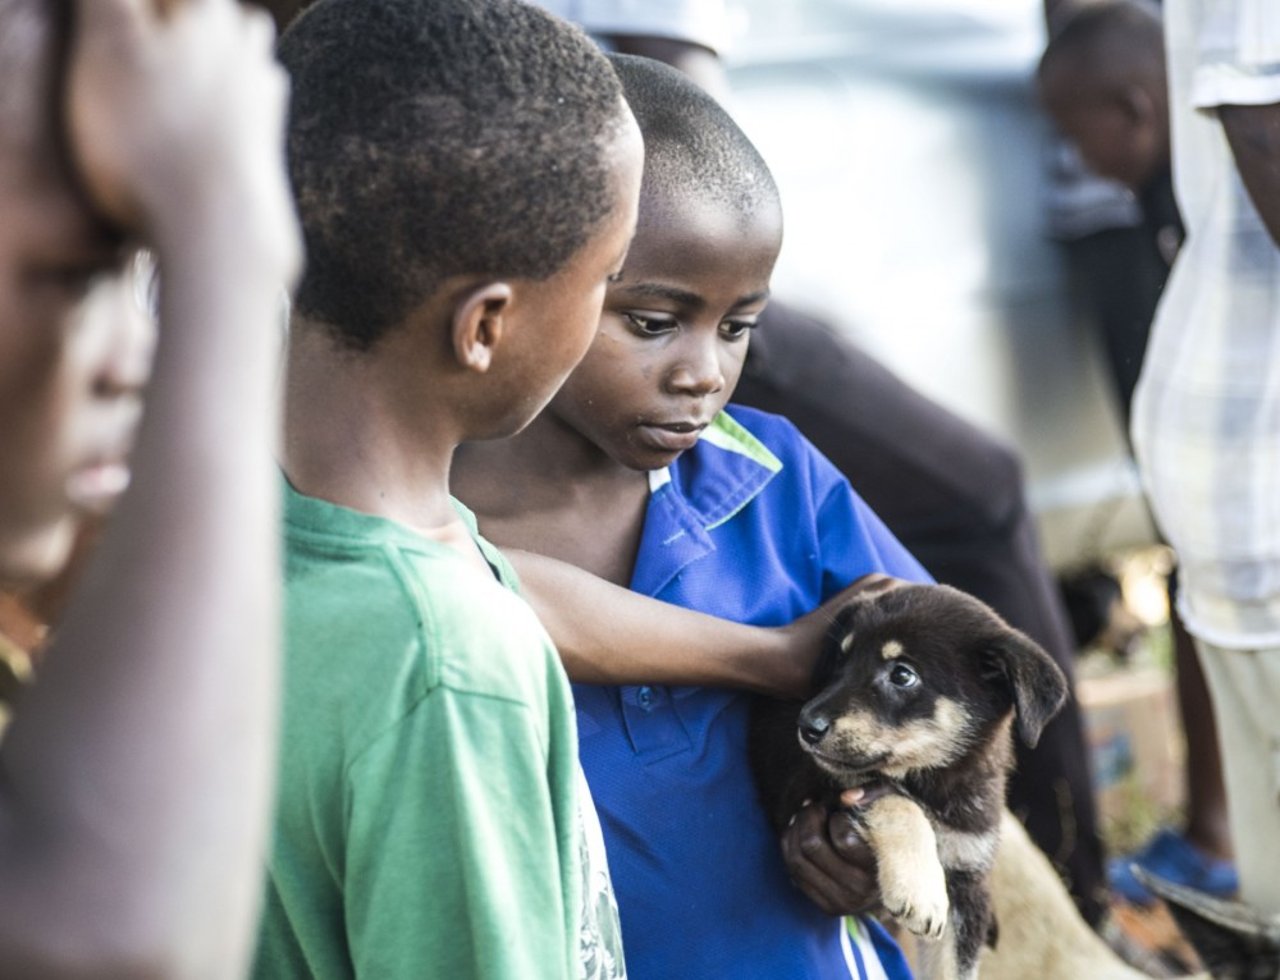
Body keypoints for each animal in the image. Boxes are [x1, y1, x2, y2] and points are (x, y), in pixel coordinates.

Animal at [747, 583, 1070, 980]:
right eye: (841, 660)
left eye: (902, 675)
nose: (806, 726)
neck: (936, 779)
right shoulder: (809, 788)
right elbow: (895, 799)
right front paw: (920, 887)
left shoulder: (967, 879)